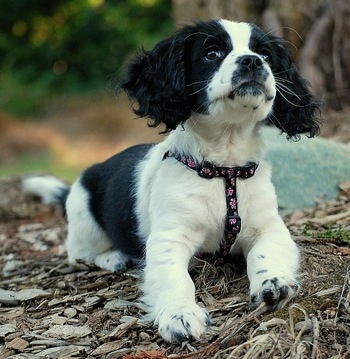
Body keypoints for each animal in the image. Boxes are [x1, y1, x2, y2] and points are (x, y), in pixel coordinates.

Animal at [23, 19, 322, 344]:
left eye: (265, 54)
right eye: (212, 53)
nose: (252, 61)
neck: (224, 170)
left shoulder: (269, 226)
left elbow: (265, 252)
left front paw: (274, 281)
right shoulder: (170, 236)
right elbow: (174, 276)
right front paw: (179, 315)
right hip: (85, 220)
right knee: (79, 253)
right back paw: (114, 258)